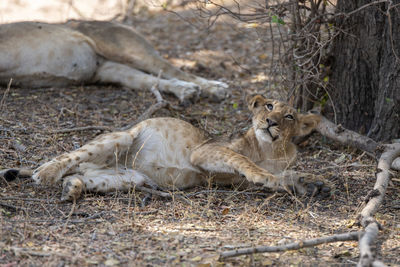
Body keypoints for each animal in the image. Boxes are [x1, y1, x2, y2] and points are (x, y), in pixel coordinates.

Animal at [0, 20, 227, 102]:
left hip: (129, 50)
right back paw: (187, 91)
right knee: (156, 81)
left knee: (176, 71)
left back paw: (217, 89)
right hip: (116, 71)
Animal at [2, 95, 328, 202]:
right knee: (67, 157)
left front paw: (311, 183)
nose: (270, 122)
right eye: (269, 106)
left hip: (125, 178)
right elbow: (243, 161)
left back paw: (72, 189)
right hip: (120, 138)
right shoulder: (205, 152)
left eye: (289, 117)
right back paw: (46, 173)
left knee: (79, 173)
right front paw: (267, 177)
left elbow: (289, 176)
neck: (272, 150)